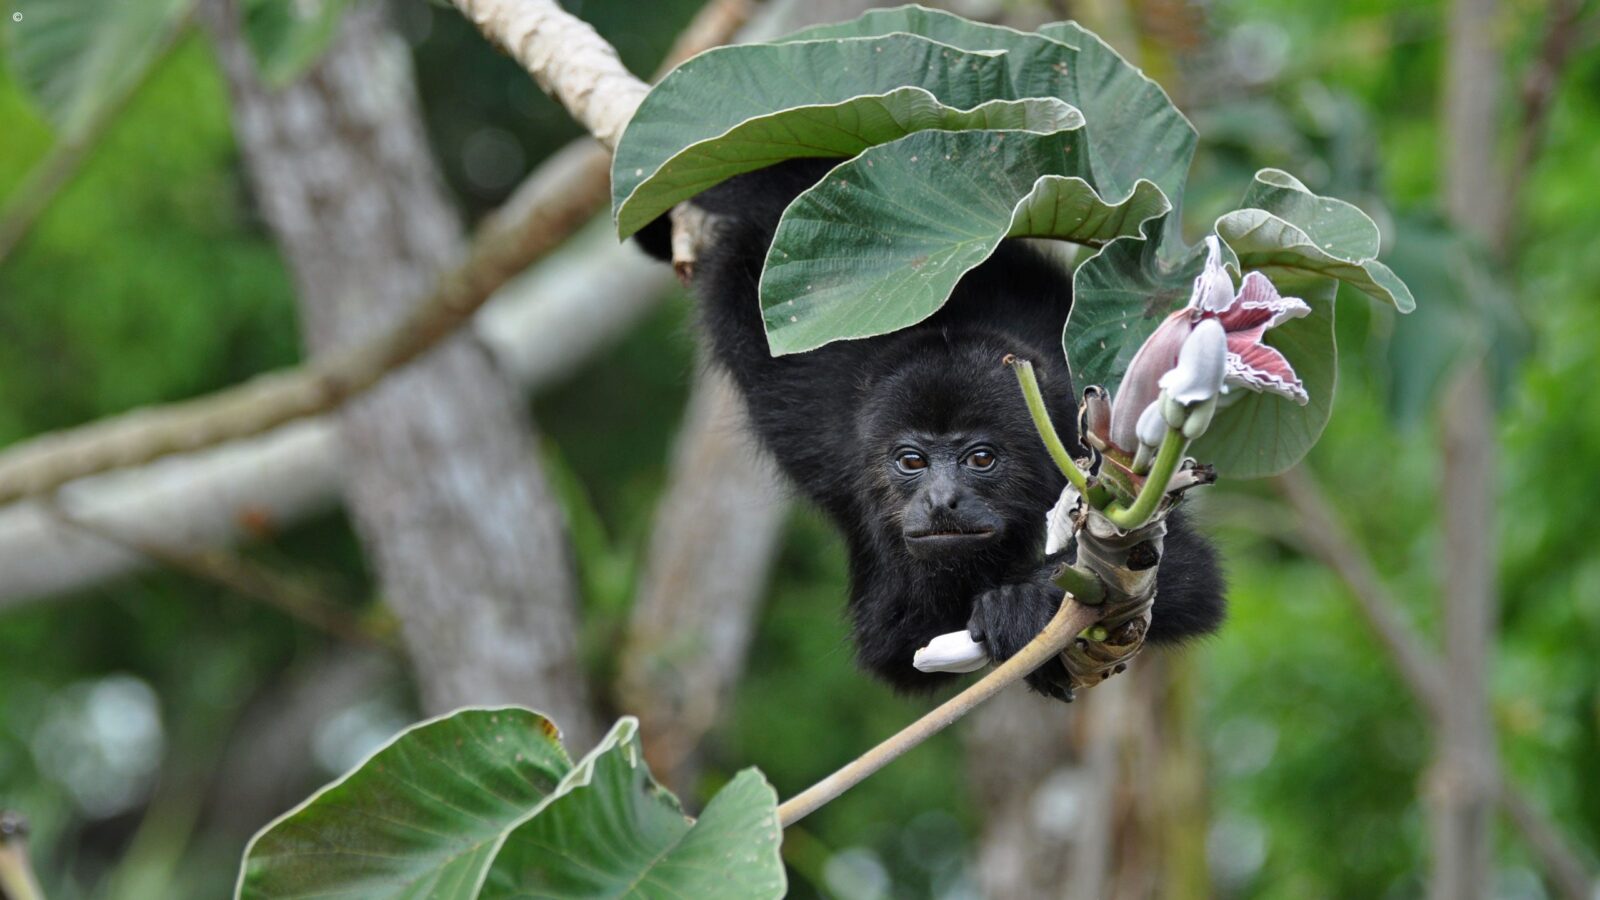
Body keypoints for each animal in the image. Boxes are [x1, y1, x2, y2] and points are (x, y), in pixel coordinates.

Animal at [635, 159, 1225, 701]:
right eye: (911, 461)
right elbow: (894, 647)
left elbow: (1187, 576)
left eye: (981, 459)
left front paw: (1027, 601)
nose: (942, 500)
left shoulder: (1093, 437)